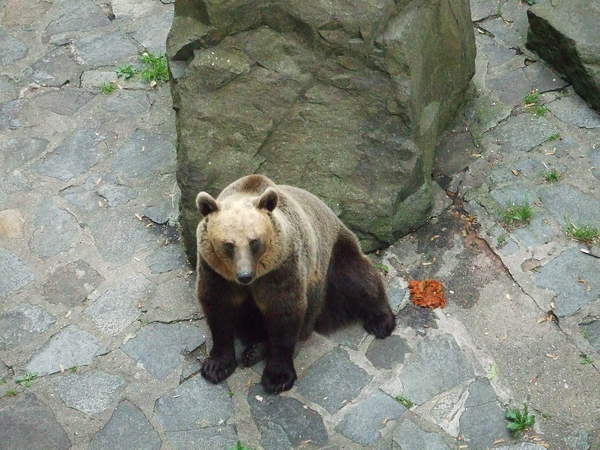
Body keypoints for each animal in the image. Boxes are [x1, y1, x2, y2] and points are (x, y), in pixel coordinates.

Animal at [195, 174, 396, 392]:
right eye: (228, 244)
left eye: (254, 241)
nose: (244, 275)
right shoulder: (215, 271)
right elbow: (218, 308)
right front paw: (216, 366)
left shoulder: (282, 266)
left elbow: (284, 312)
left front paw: (277, 377)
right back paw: (254, 350)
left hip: (332, 259)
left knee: (357, 279)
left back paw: (381, 321)